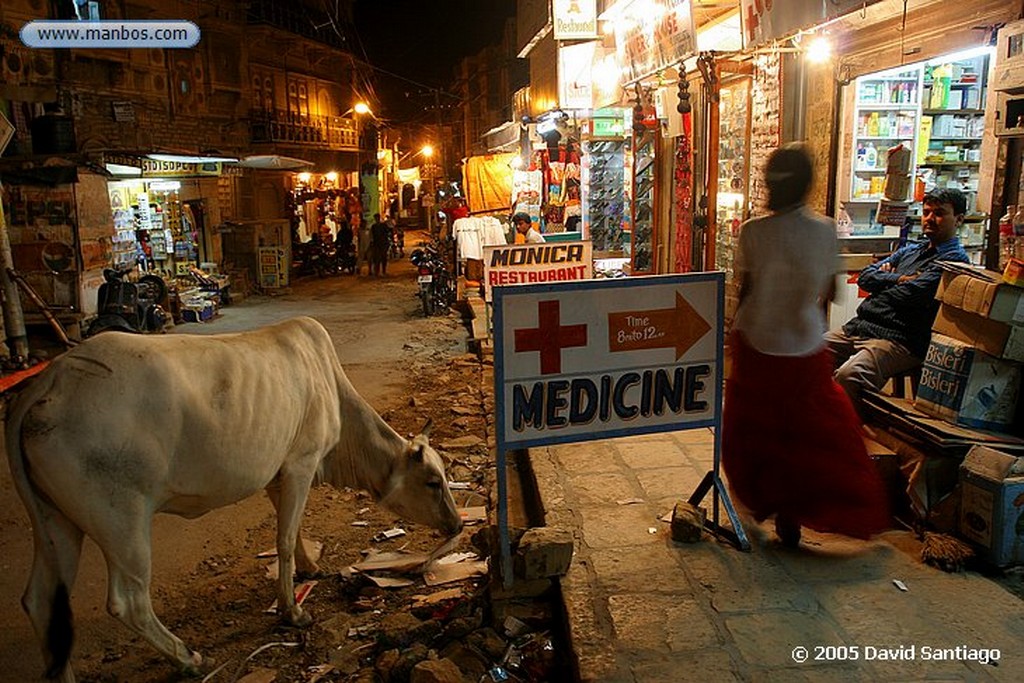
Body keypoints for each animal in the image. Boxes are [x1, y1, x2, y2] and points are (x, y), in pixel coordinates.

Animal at [6, 317, 462, 679]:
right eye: (433, 482)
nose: (457, 525)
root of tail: (53, 377)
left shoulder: (278, 475)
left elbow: (294, 530)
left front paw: (310, 568)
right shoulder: (301, 463)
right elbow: (283, 539)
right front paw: (293, 611)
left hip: (56, 520)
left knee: (41, 602)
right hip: (122, 517)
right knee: (128, 601)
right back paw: (188, 657)